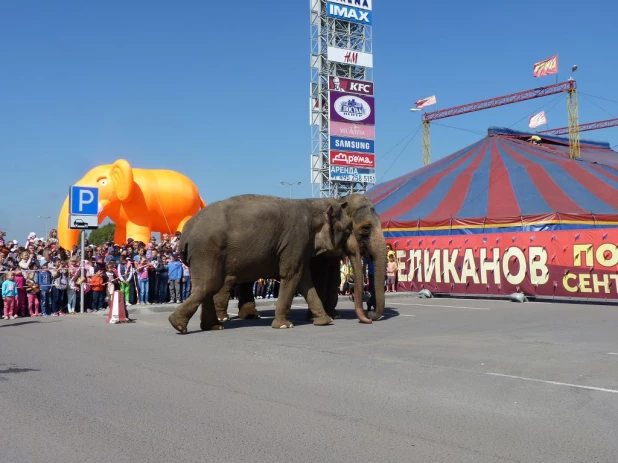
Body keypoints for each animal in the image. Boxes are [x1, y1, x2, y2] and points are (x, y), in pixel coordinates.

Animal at [167, 193, 352, 334]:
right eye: (348, 228)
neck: (311, 203)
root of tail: (186, 233)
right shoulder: (296, 239)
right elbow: (291, 275)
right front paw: (284, 326)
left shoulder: (298, 246)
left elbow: (304, 279)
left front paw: (325, 321)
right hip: (207, 250)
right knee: (209, 285)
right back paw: (179, 325)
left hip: (204, 253)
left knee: (207, 287)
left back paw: (212, 327)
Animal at [214, 194, 382, 324]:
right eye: (366, 228)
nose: (370, 315)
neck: (338, 199)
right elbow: (319, 278)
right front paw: (315, 317)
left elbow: (333, 279)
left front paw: (334, 315)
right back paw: (223, 318)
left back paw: (250, 316)